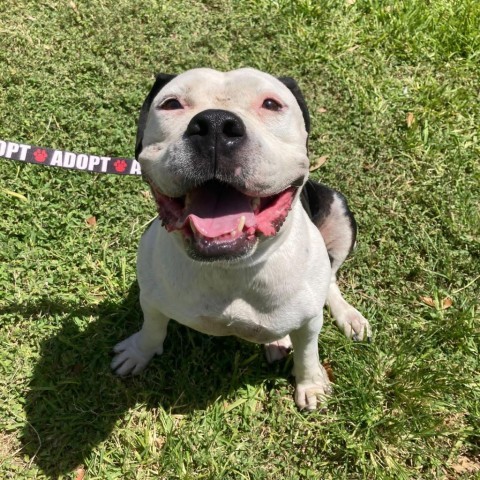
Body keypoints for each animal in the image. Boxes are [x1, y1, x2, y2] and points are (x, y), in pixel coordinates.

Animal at [111, 67, 372, 410]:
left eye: (271, 104)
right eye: (171, 104)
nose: (215, 124)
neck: (230, 267)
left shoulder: (309, 322)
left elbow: (308, 353)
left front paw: (311, 384)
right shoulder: (152, 299)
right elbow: (152, 329)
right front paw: (138, 352)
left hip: (338, 209)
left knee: (330, 277)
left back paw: (347, 316)